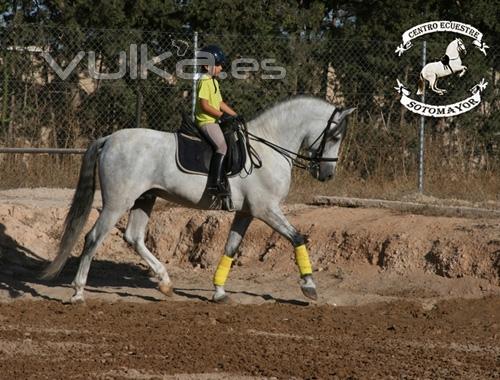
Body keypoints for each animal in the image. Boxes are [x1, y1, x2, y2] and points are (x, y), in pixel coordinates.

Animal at [43, 96, 356, 304]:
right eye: (335, 135)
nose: (327, 174)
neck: (269, 147)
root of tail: (109, 139)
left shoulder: (247, 212)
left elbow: (231, 248)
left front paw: (219, 291)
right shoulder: (267, 209)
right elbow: (297, 238)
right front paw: (309, 286)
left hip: (145, 199)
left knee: (134, 237)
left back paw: (165, 283)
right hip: (117, 203)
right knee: (93, 238)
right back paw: (78, 292)